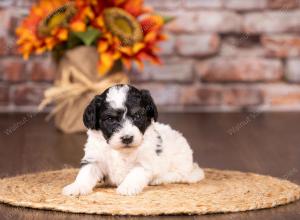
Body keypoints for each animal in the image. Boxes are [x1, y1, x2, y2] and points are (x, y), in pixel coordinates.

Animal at [62, 84, 205, 196]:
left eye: (137, 116)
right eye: (110, 119)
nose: (127, 138)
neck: (120, 151)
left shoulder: (145, 161)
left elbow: (136, 173)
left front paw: (127, 187)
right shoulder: (94, 158)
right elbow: (86, 173)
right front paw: (76, 187)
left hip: (180, 161)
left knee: (179, 175)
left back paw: (159, 179)